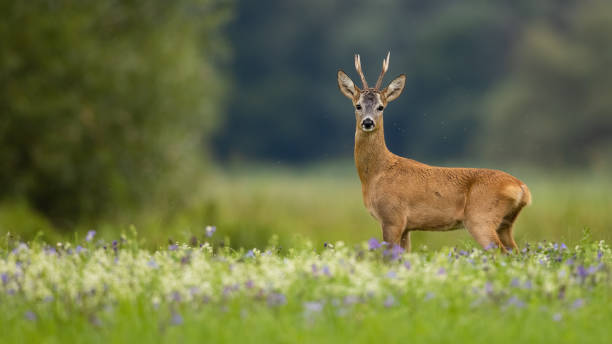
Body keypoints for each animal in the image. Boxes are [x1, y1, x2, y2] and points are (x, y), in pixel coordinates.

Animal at [338, 53, 528, 253]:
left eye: (380, 107)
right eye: (358, 105)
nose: (368, 122)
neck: (376, 174)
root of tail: (522, 188)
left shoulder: (392, 217)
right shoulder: (407, 227)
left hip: (481, 219)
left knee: (501, 253)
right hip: (505, 224)